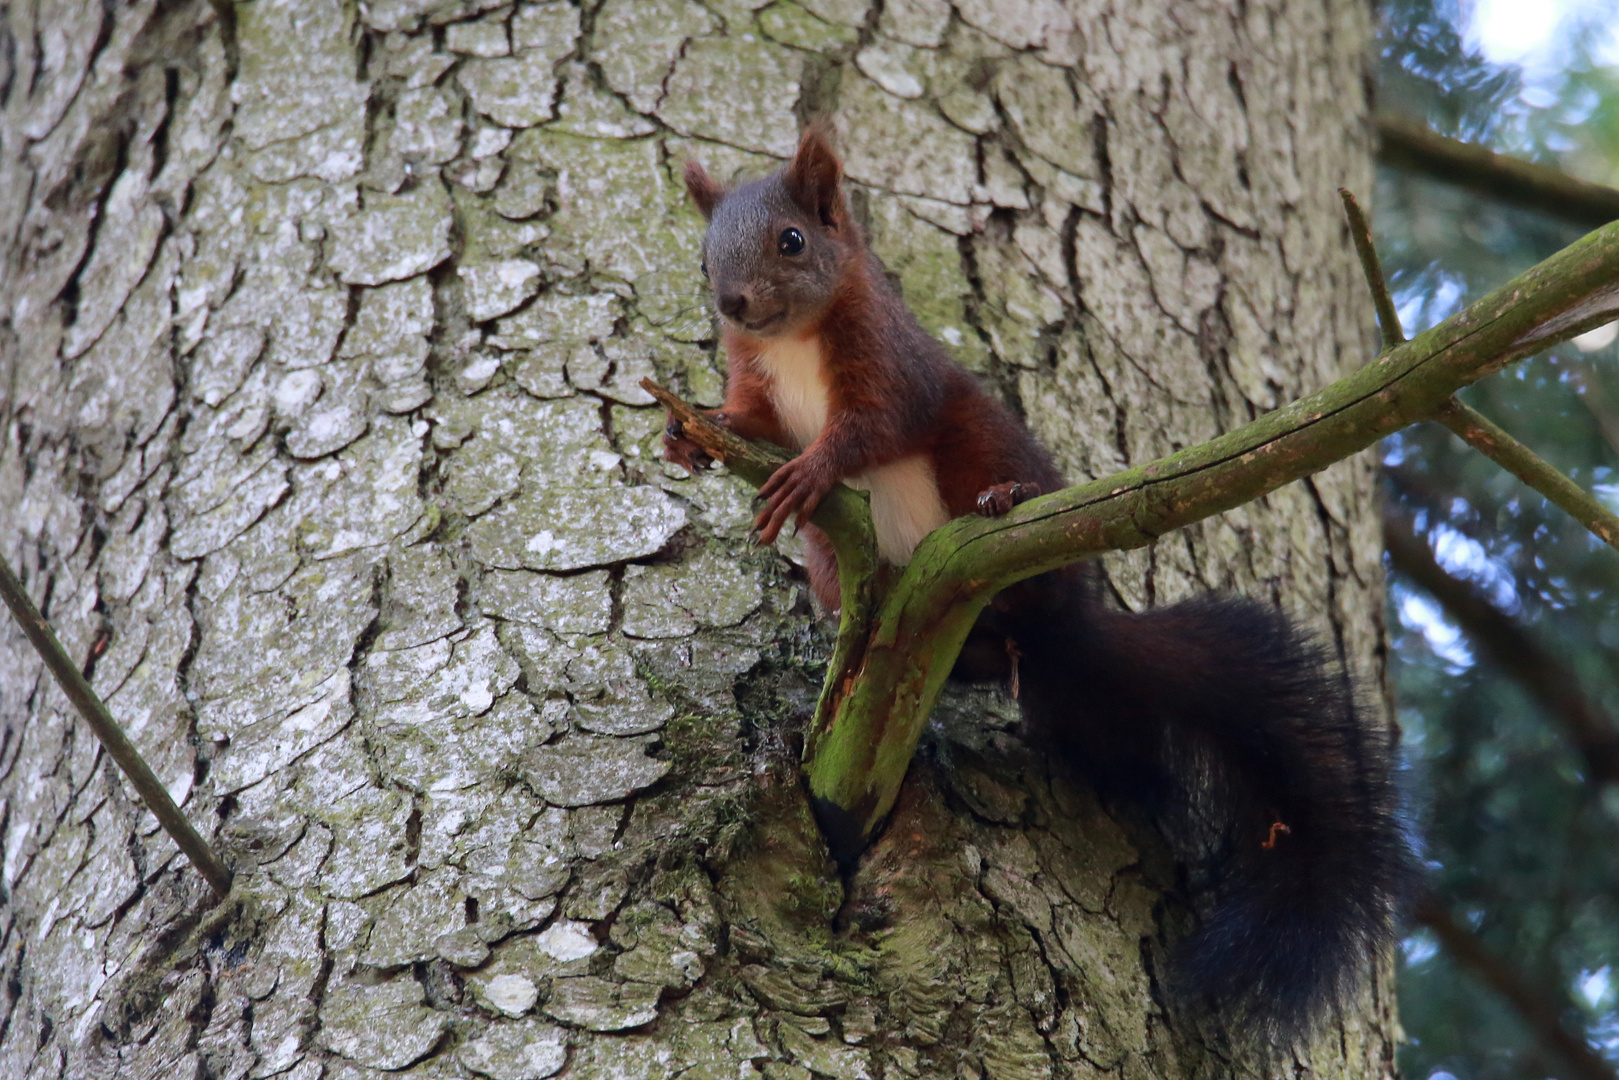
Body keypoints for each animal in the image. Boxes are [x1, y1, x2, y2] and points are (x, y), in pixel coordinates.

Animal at [663, 128, 1411, 1049]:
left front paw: (811, 471)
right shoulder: (760, 380)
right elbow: (751, 420)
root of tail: (1069, 629)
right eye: (704, 256)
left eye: (792, 241)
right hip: (850, 573)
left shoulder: (889, 367)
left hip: (987, 458)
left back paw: (998, 507)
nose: (731, 303)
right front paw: (692, 432)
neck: (794, 342)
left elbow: (871, 429)